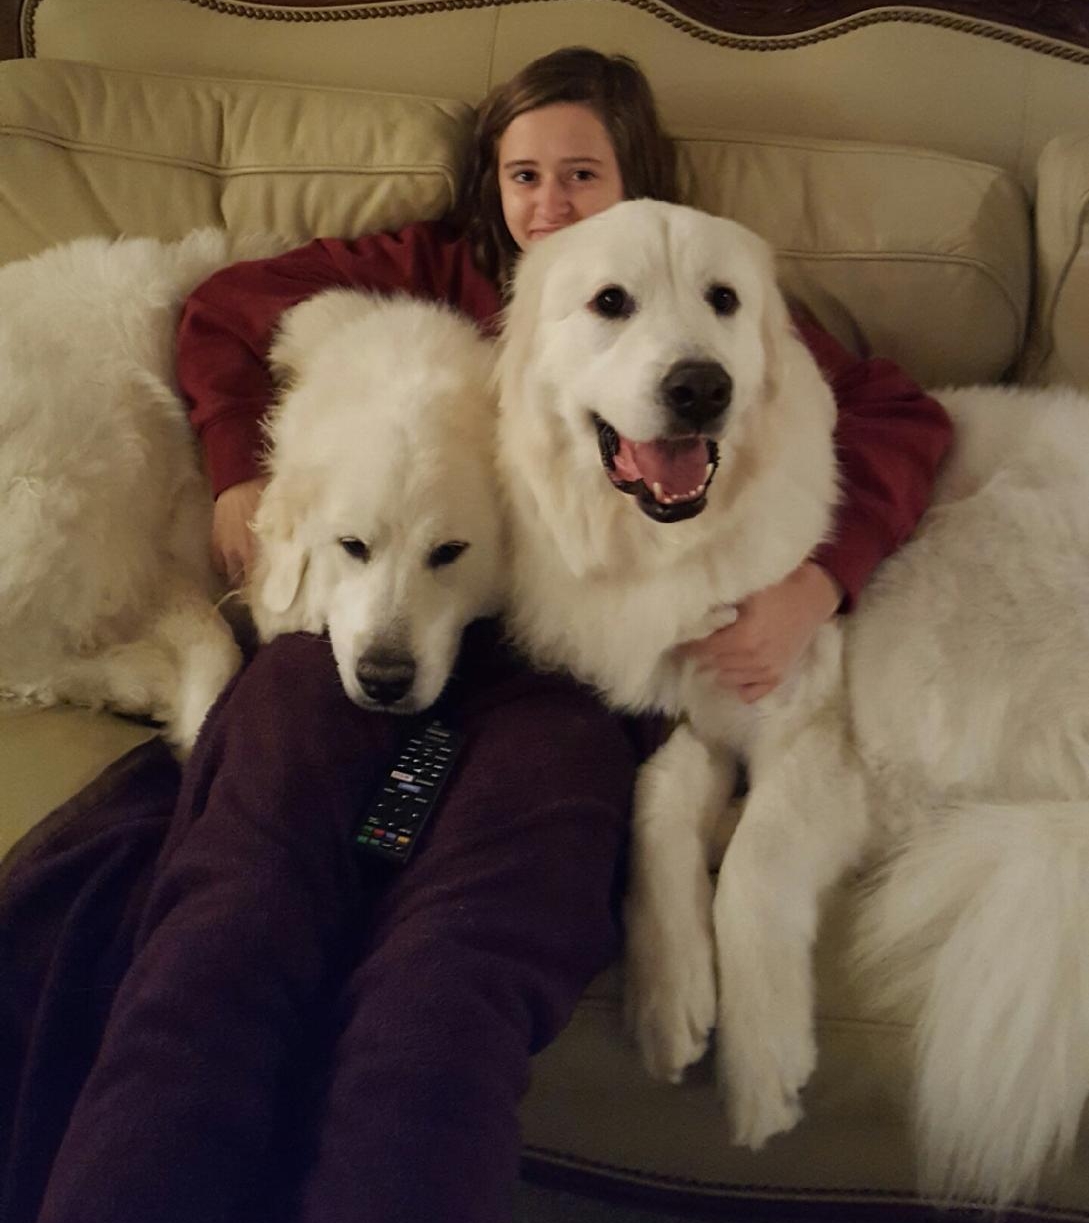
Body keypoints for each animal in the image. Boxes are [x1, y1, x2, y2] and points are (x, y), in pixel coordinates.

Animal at [496, 198, 1086, 1203]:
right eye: (610, 302)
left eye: (723, 300)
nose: (701, 387)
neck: (678, 548)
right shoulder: (694, 714)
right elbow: (656, 804)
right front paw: (670, 992)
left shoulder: (809, 726)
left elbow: (756, 874)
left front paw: (759, 1064)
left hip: (925, 605)